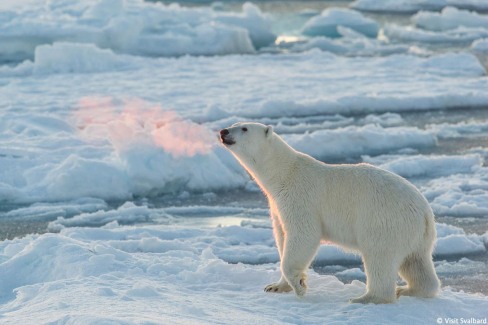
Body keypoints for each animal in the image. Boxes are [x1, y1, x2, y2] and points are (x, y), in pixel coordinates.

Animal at [219, 122, 440, 304]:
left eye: (244, 128)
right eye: (235, 123)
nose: (223, 131)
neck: (284, 173)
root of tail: (425, 212)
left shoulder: (300, 197)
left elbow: (304, 235)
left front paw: (299, 286)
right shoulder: (277, 205)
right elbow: (282, 236)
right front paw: (275, 286)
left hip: (384, 220)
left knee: (380, 256)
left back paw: (367, 298)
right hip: (414, 235)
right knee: (416, 262)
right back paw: (408, 290)